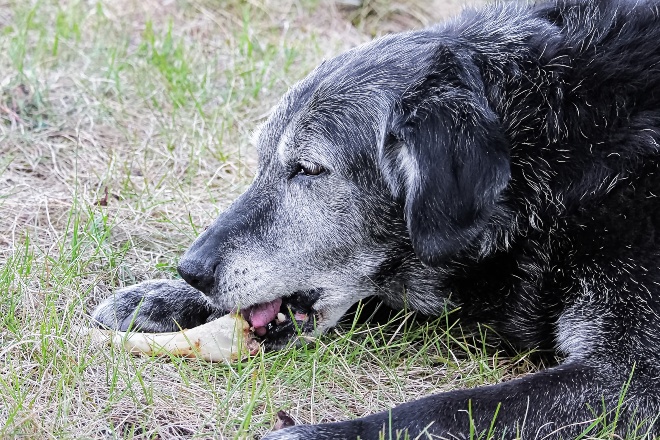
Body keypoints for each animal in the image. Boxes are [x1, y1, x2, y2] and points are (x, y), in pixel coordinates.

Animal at [91, 0, 660, 436]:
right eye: (262, 161)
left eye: (308, 169)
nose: (191, 271)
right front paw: (165, 297)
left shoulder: (632, 380)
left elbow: (444, 410)